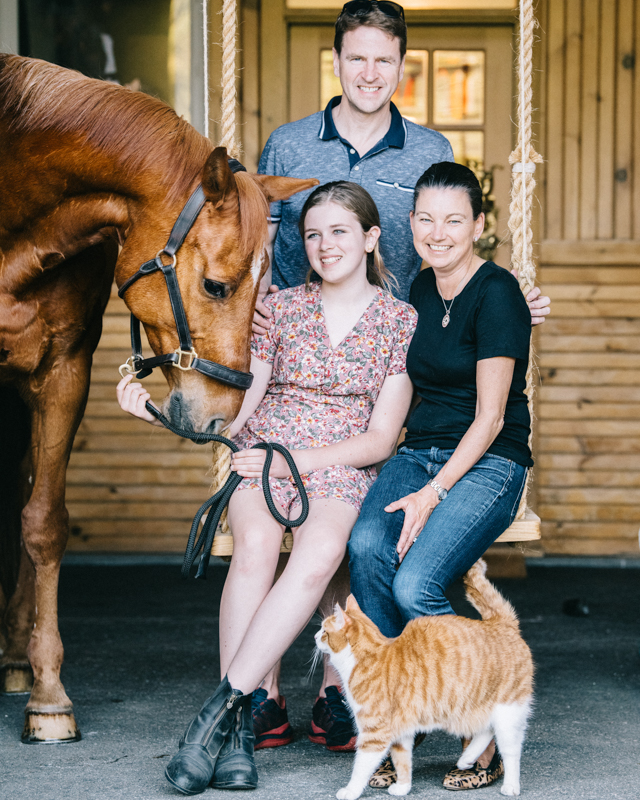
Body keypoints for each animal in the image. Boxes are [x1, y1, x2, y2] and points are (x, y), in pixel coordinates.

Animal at [314, 559, 534, 799]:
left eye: (324, 631)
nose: (315, 637)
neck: (367, 657)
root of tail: (500, 623)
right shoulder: (400, 732)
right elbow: (402, 760)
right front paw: (403, 786)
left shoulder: (374, 732)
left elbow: (361, 766)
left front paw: (350, 790)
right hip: (476, 709)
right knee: (486, 730)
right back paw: (466, 759)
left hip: (507, 710)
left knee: (510, 750)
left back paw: (510, 785)